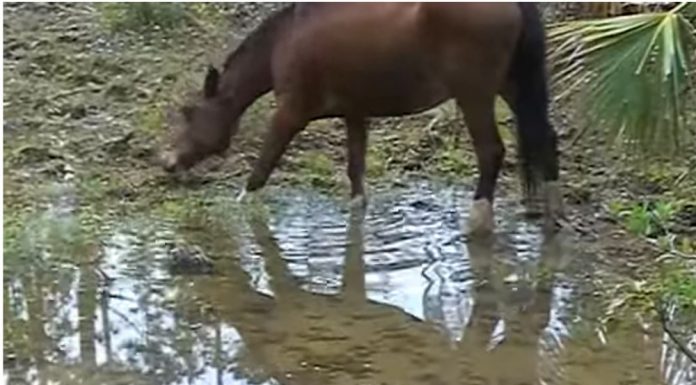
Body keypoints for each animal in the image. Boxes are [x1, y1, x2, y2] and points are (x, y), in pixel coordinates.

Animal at [160, 3, 564, 232]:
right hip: (513, 87)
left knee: (490, 152)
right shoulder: (356, 114)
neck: (287, 39)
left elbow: (261, 168)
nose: (167, 162)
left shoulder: (290, 114)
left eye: (189, 113)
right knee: (546, 138)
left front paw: (238, 208)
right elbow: (356, 173)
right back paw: (551, 216)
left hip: (474, 95)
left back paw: (478, 221)